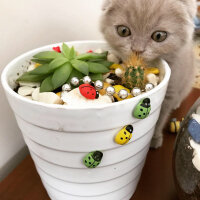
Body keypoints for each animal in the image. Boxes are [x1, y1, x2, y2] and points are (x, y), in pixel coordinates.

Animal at [100, 0, 197, 148]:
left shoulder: (170, 91)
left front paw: (154, 139)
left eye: (159, 36)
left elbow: (160, 118)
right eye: (123, 31)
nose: (137, 49)